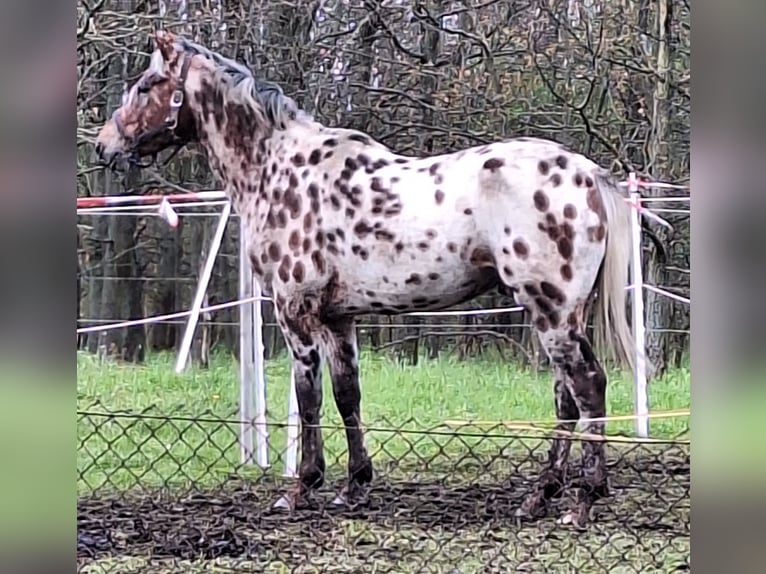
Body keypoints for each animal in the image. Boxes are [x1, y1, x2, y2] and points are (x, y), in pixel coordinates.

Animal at [96, 30, 648, 528]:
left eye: (146, 84)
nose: (105, 145)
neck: (278, 170)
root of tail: (587, 174)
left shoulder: (295, 312)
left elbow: (309, 397)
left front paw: (302, 489)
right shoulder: (341, 319)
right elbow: (347, 395)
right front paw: (355, 486)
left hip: (551, 311)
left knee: (587, 386)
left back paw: (582, 501)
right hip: (556, 314)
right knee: (566, 397)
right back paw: (538, 498)